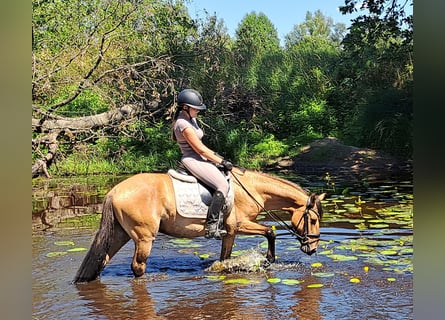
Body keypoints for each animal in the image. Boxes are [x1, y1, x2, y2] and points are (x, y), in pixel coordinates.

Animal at [73, 168, 326, 282]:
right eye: (313, 220)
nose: (312, 248)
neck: (251, 189)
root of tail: (114, 191)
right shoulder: (240, 225)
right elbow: (270, 231)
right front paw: (269, 260)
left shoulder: (229, 233)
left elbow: (225, 257)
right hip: (144, 237)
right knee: (137, 266)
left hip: (120, 234)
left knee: (102, 260)